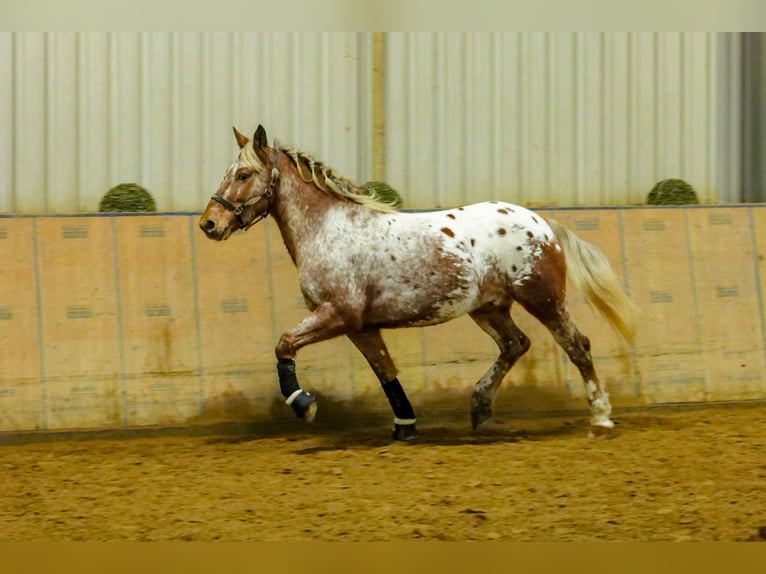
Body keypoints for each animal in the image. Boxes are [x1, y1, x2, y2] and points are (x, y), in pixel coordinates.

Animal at [198, 125, 636, 440]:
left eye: (243, 174)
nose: (209, 224)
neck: (328, 228)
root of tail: (542, 223)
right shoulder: (361, 326)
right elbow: (385, 371)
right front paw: (404, 427)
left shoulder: (337, 315)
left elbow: (285, 343)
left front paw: (304, 405)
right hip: (488, 308)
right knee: (516, 344)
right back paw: (479, 408)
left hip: (543, 300)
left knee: (577, 346)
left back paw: (601, 419)